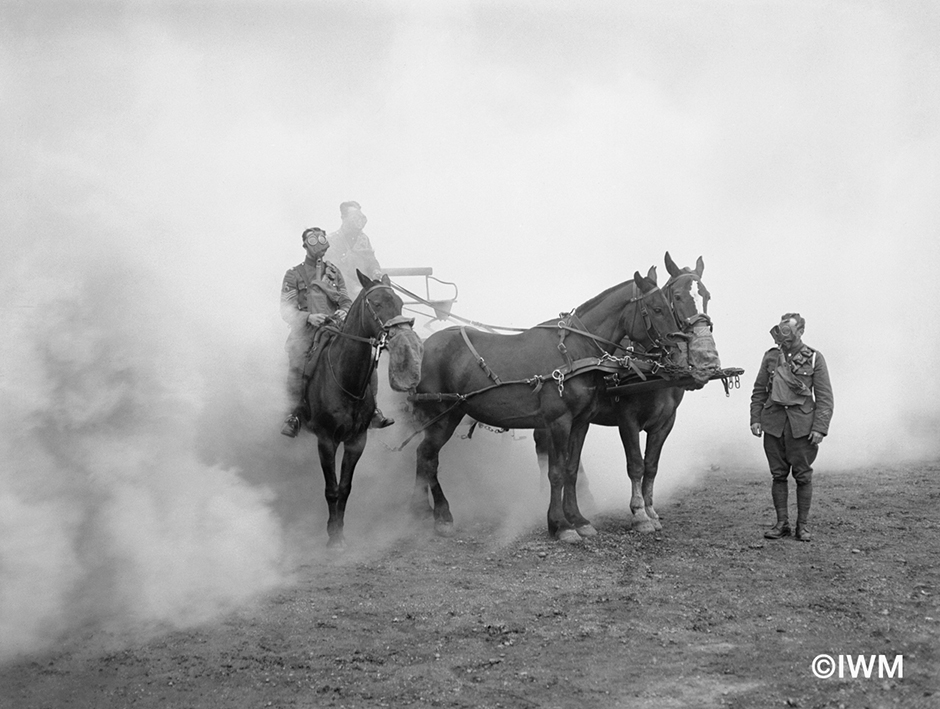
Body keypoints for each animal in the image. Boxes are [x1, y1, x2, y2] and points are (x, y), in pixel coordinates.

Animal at [302, 272, 424, 548]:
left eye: (400, 303)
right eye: (376, 304)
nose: (406, 339)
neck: (345, 380)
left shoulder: (357, 440)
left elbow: (345, 487)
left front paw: (339, 531)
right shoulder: (326, 440)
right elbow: (331, 488)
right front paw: (333, 538)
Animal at [412, 270, 684, 544]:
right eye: (657, 308)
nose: (679, 349)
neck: (575, 353)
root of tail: (425, 345)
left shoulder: (581, 422)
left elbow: (572, 470)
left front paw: (578, 520)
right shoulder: (559, 421)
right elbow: (557, 472)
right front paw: (561, 525)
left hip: (450, 415)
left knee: (423, 457)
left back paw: (423, 513)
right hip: (441, 417)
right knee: (427, 458)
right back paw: (438, 516)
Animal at [532, 250, 724, 532]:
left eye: (707, 295)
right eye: (677, 296)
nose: (706, 358)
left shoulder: (665, 422)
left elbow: (651, 466)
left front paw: (651, 510)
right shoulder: (627, 420)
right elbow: (635, 465)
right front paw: (639, 514)